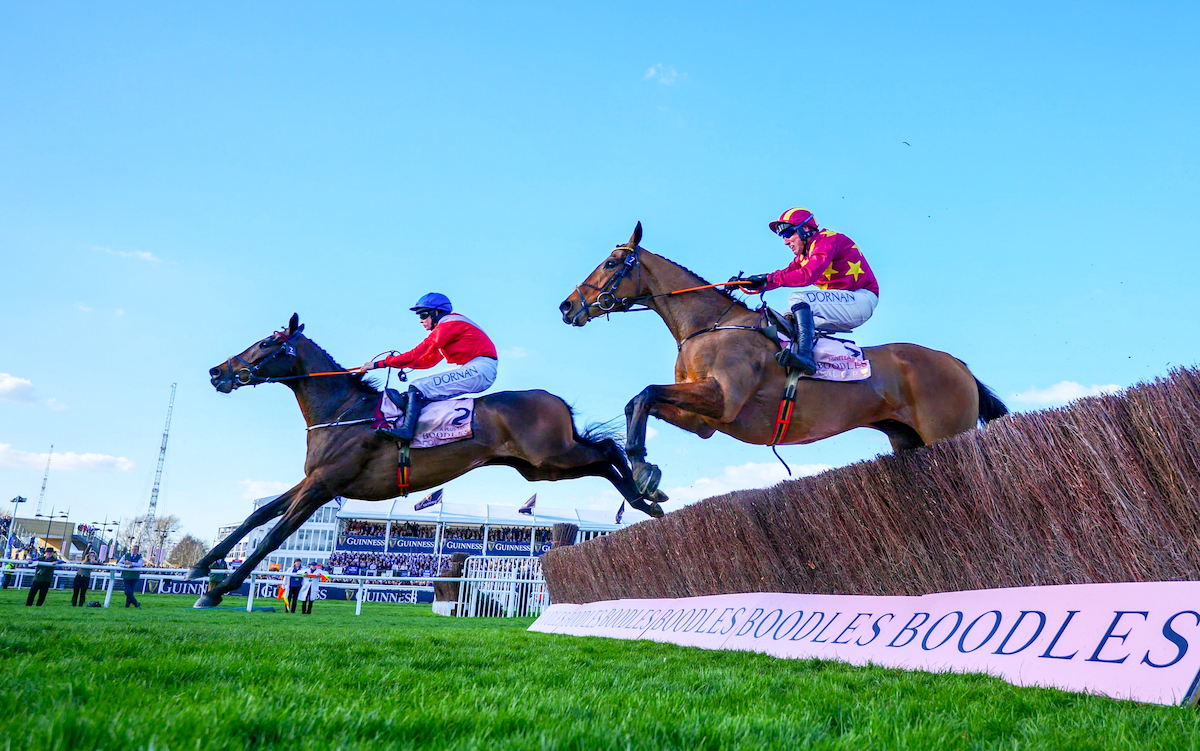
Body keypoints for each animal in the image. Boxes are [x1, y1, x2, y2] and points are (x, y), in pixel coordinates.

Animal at [192, 311, 672, 604]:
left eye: (263, 343)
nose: (217, 372)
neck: (343, 411)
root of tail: (552, 398)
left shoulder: (325, 484)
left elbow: (275, 535)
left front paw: (220, 588)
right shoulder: (311, 480)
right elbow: (258, 517)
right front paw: (202, 566)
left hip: (553, 455)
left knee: (607, 450)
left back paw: (645, 485)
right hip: (542, 468)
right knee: (602, 459)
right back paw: (645, 496)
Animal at [556, 220, 1008, 491]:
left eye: (611, 262)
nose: (566, 306)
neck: (709, 325)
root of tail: (957, 364)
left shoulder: (723, 400)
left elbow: (646, 392)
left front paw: (642, 468)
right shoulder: (703, 420)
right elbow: (639, 400)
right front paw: (640, 469)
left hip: (946, 433)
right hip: (907, 441)